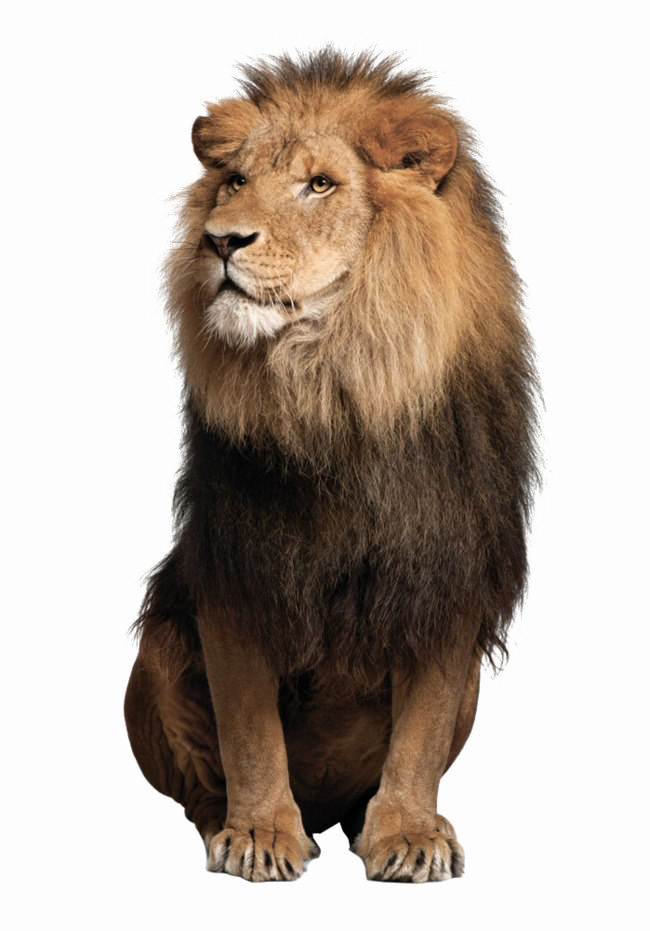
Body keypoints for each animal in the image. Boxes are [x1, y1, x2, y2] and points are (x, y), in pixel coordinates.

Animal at [125, 49, 538, 883]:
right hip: (155, 653)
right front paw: (259, 833)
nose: (219, 241)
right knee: (200, 784)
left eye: (319, 184)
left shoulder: (446, 571)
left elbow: (420, 730)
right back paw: (231, 823)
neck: (337, 389)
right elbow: (248, 729)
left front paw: (408, 831)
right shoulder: (241, 567)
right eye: (233, 182)